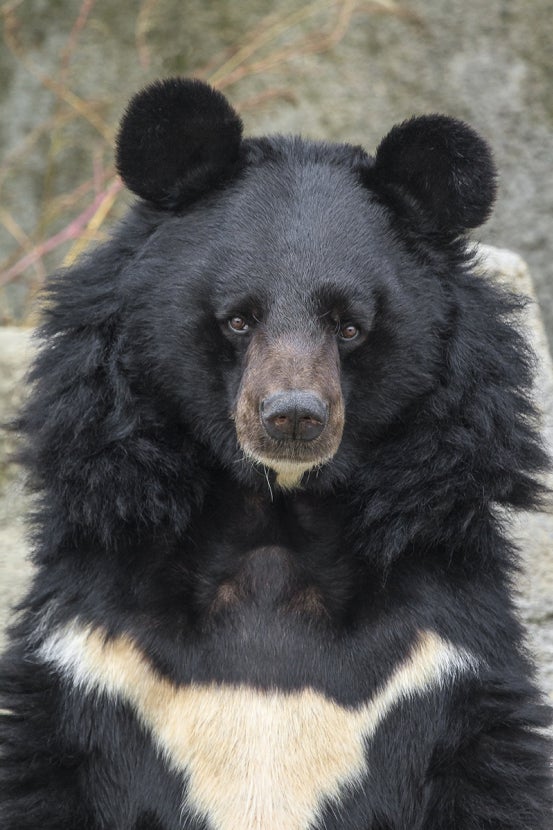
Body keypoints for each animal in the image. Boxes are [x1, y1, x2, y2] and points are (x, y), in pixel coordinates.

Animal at [0, 77, 551, 829]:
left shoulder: (440, 660)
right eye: (239, 318)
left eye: (349, 326)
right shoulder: (94, 660)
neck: (275, 516)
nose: (293, 417)